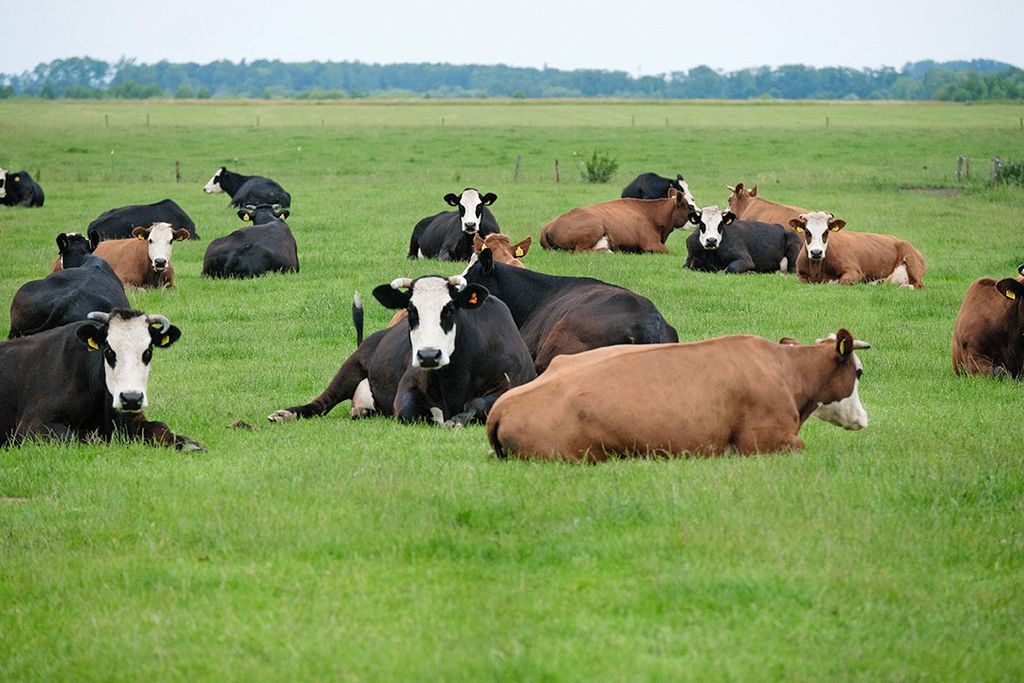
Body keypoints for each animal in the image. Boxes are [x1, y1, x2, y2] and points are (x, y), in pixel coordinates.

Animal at [0, 309, 203, 448]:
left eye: (148, 351)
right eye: (109, 350)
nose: (131, 398)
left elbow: (160, 427)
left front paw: (188, 444)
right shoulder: (32, 426)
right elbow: (76, 436)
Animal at [264, 274, 536, 423]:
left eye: (449, 309)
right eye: (411, 310)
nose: (428, 355)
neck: (454, 379)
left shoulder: (509, 385)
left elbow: (478, 405)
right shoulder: (407, 387)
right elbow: (408, 411)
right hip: (351, 367)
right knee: (321, 404)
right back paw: (285, 413)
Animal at [536, 187, 696, 253]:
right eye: (690, 207)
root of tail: (548, 226)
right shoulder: (651, 243)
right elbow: (666, 250)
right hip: (595, 227)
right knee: (579, 251)